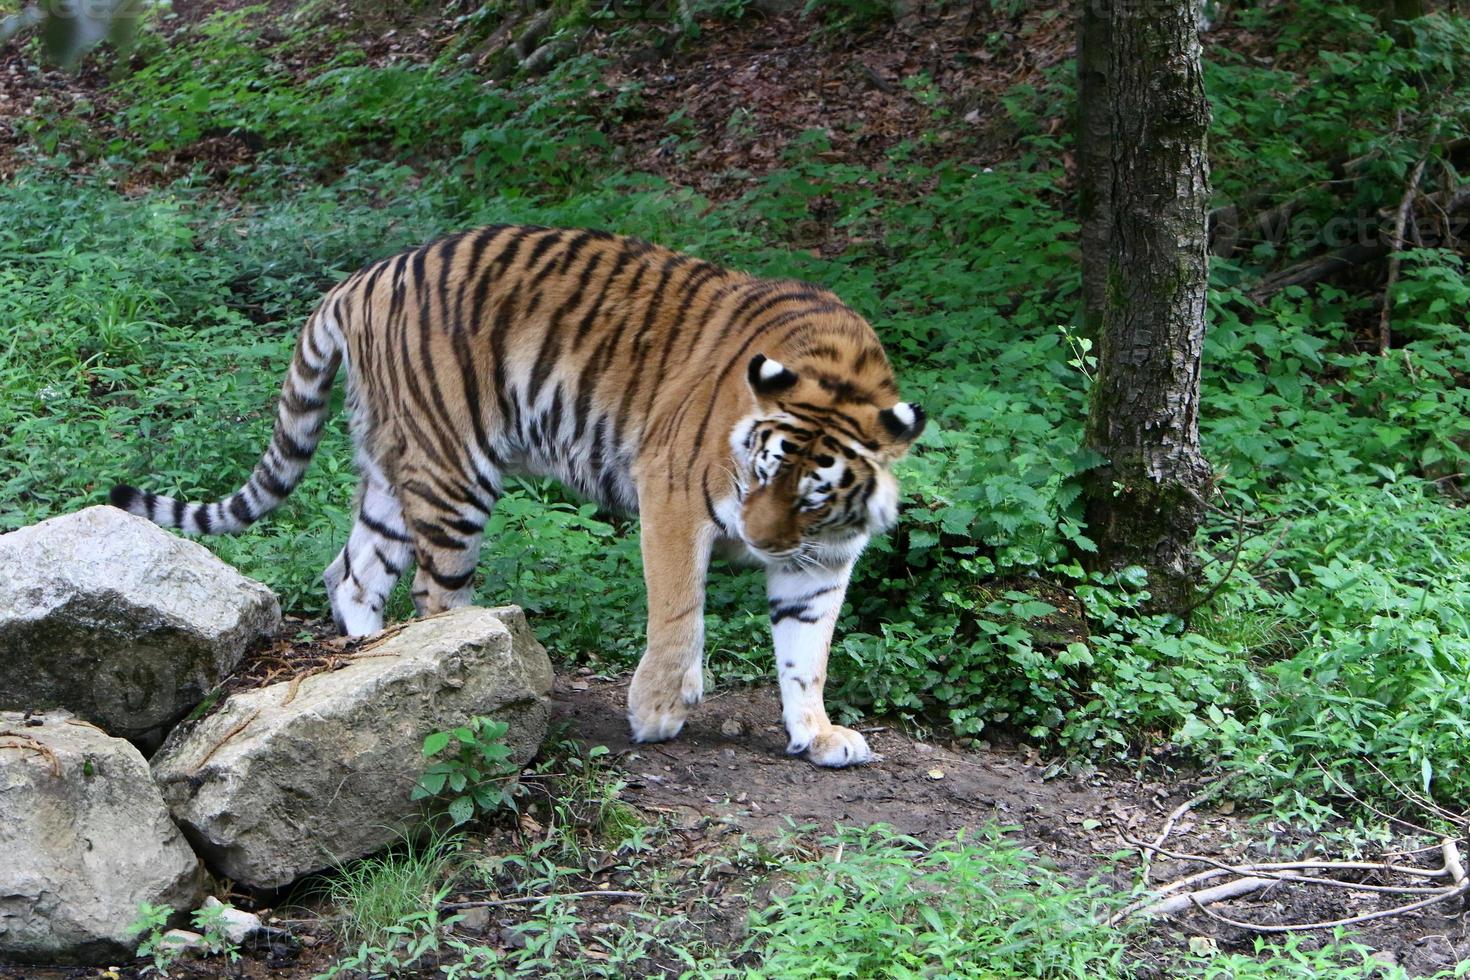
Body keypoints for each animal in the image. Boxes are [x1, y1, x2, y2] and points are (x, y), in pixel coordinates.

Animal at [111, 226, 917, 769]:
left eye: (811, 497)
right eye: (757, 471)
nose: (757, 544)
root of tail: (362, 277)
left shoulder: (822, 559)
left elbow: (807, 648)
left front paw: (817, 734)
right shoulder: (674, 498)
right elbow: (678, 613)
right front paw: (658, 711)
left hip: (393, 468)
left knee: (353, 572)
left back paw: (373, 661)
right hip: (453, 470)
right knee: (435, 597)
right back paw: (461, 688)